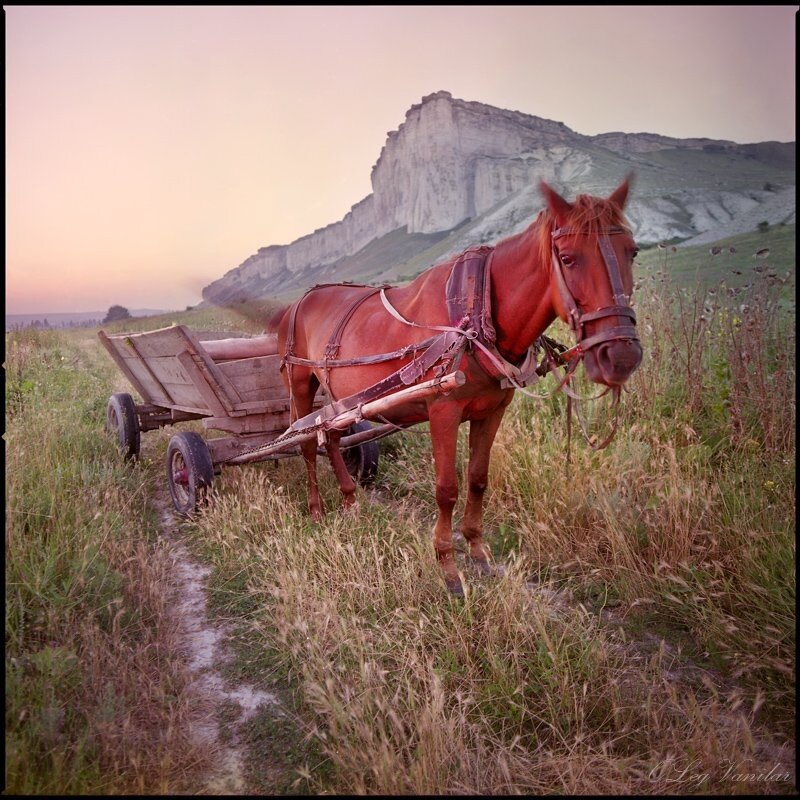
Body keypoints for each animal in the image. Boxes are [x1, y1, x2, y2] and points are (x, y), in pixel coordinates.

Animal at [272, 180, 640, 592]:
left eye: (633, 251)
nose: (621, 356)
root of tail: (299, 301)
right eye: (568, 257)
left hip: (339, 402)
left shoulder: (492, 412)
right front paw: (448, 567)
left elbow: (477, 480)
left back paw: (350, 499)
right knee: (307, 443)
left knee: (332, 437)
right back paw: (317, 509)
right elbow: (447, 488)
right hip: (301, 386)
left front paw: (479, 553)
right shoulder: (443, 411)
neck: (475, 314)